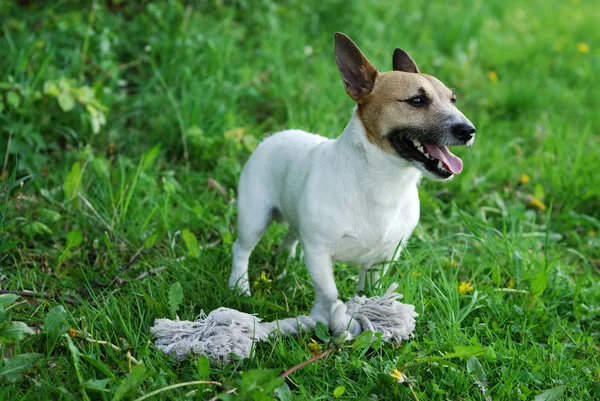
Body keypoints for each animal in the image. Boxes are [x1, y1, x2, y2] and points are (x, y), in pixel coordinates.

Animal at [227, 32, 476, 332]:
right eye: (417, 100)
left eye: (453, 99)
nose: (469, 130)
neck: (385, 181)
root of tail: (274, 136)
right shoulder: (319, 253)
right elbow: (329, 293)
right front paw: (328, 319)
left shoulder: (382, 259)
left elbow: (369, 290)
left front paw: (371, 312)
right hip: (254, 218)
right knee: (241, 249)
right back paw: (239, 287)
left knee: (291, 236)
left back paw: (285, 264)